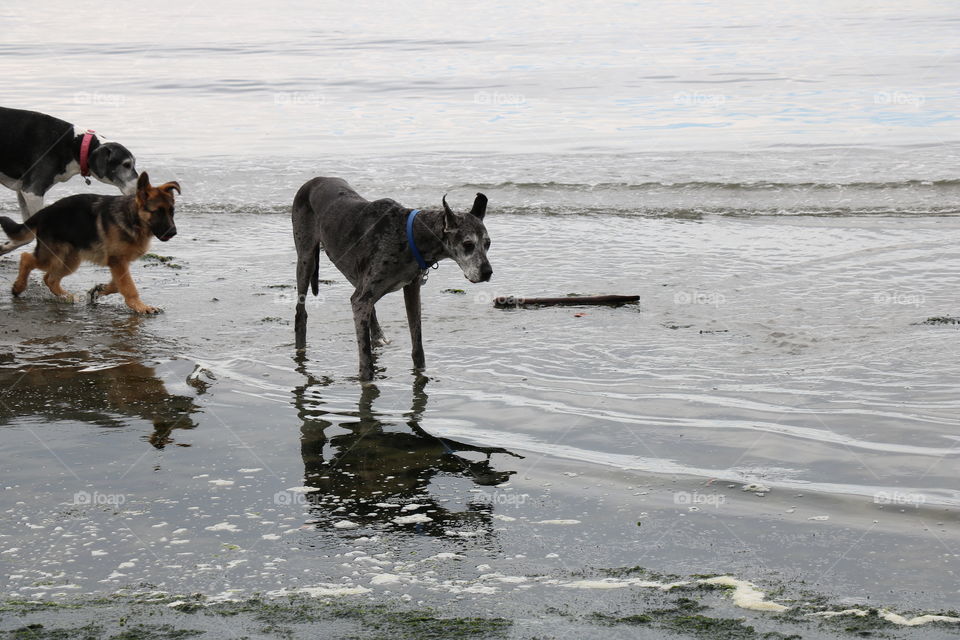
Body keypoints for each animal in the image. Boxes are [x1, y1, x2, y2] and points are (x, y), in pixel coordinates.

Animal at [0, 171, 181, 314]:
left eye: (171, 211)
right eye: (157, 212)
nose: (173, 232)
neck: (132, 218)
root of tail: (44, 212)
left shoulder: (120, 264)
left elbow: (119, 284)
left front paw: (99, 290)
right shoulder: (117, 261)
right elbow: (128, 286)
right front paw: (140, 306)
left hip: (70, 260)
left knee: (49, 278)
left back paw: (65, 296)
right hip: (52, 256)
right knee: (26, 258)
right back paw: (18, 287)